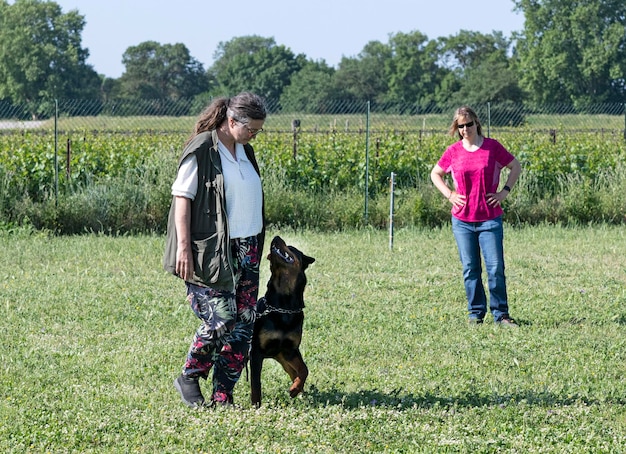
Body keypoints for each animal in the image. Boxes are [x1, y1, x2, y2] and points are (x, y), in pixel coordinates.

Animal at [249, 236, 314, 406]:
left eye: (292, 248)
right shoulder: (256, 353)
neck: (283, 305)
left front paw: (295, 389)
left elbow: (304, 370)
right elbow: (256, 384)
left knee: (294, 372)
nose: (276, 237)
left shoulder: (290, 350)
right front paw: (256, 406)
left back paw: (301, 393)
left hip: (283, 358)